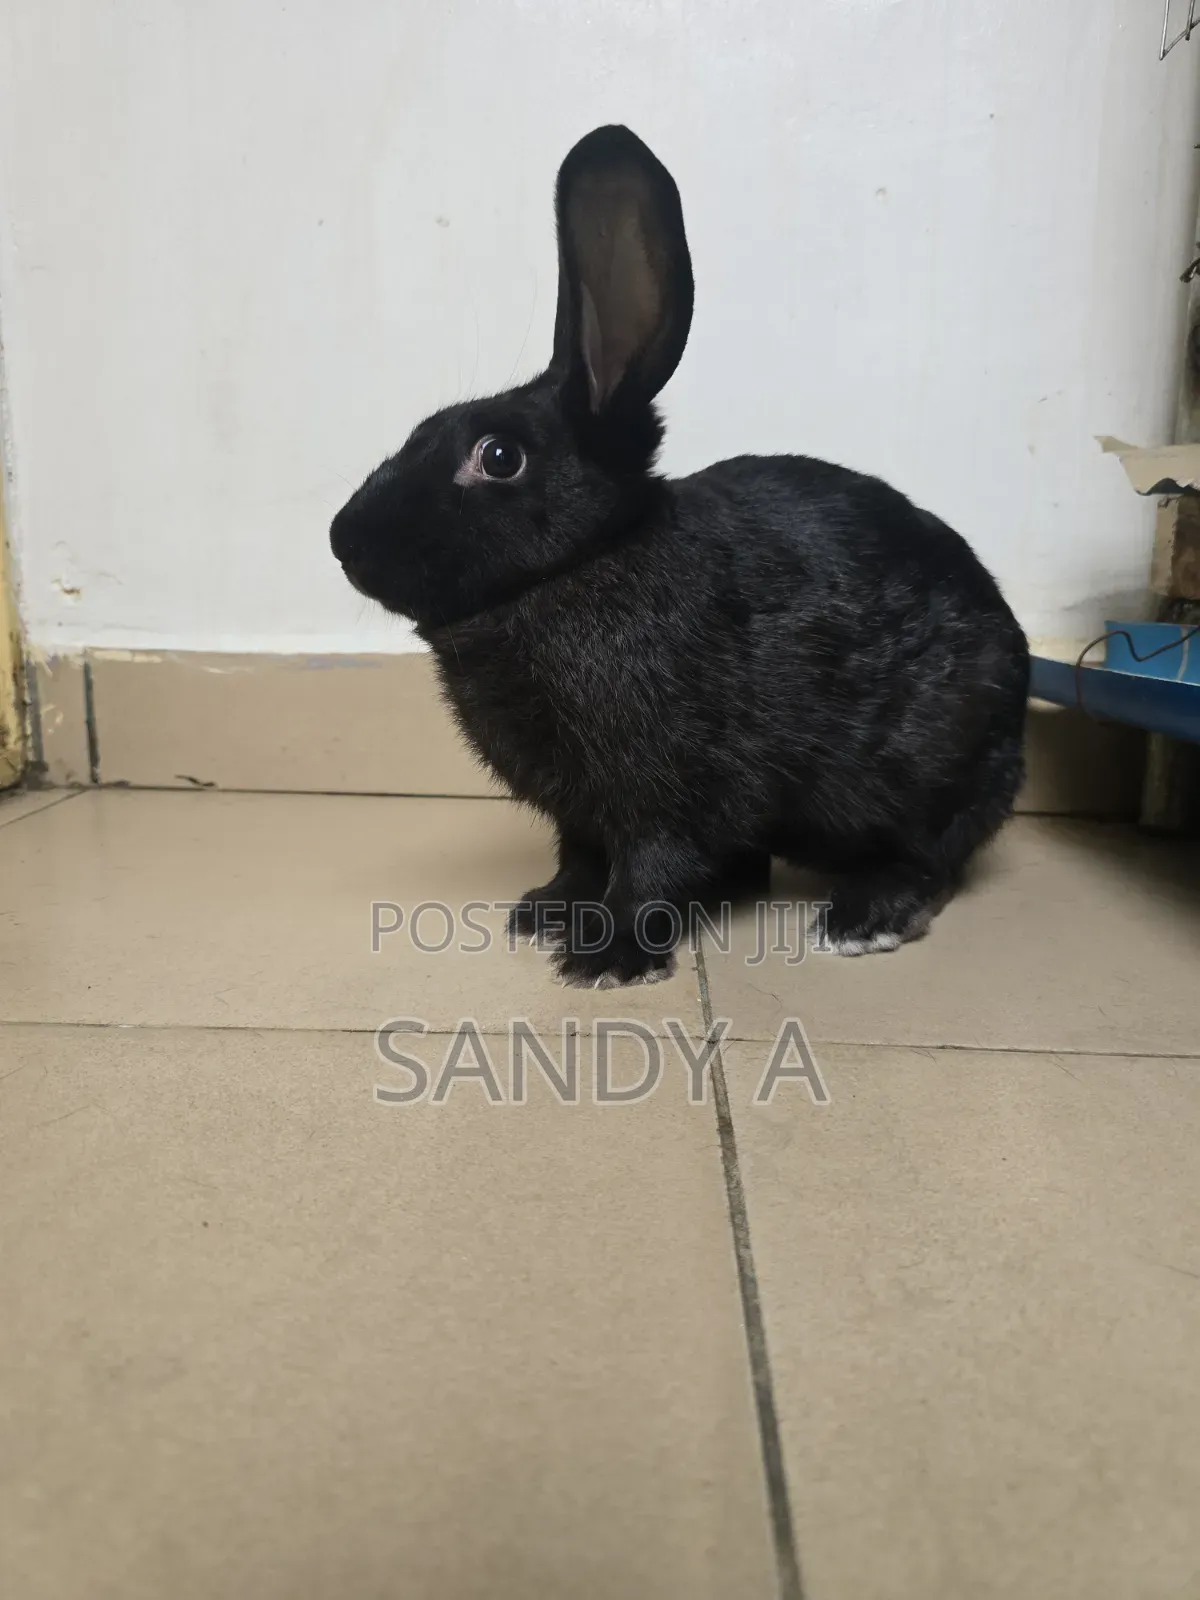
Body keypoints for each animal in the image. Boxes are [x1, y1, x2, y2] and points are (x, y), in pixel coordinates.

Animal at [330, 124, 1030, 988]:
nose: (342, 540)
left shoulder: (670, 790)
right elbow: (579, 857)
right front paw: (545, 911)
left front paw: (607, 959)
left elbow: (649, 869)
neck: (579, 567)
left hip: (928, 771)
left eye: (498, 457)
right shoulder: (578, 811)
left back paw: (863, 917)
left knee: (931, 859)